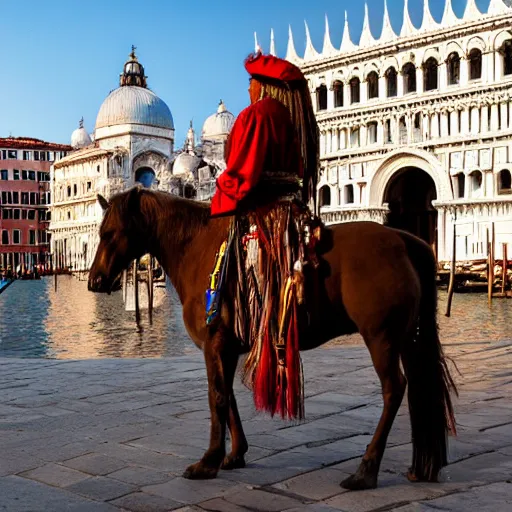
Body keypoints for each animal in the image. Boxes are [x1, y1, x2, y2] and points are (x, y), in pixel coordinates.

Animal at [87, 186, 456, 490]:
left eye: (110, 232)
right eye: (101, 233)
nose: (95, 280)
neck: (197, 249)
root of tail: (405, 241)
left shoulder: (213, 344)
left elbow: (216, 397)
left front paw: (208, 461)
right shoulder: (226, 348)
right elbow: (227, 396)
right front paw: (235, 454)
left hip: (381, 338)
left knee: (394, 388)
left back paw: (365, 471)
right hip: (406, 338)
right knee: (417, 385)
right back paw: (419, 467)